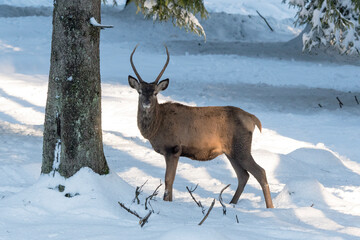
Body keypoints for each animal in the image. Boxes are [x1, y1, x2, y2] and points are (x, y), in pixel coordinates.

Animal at [126, 44, 272, 208]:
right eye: (140, 92)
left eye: (155, 93)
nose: (147, 103)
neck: (157, 127)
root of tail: (252, 119)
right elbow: (170, 180)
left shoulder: (173, 148)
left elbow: (169, 179)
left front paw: (168, 202)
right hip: (231, 151)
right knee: (243, 175)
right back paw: (231, 203)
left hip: (241, 147)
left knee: (260, 172)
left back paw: (270, 208)